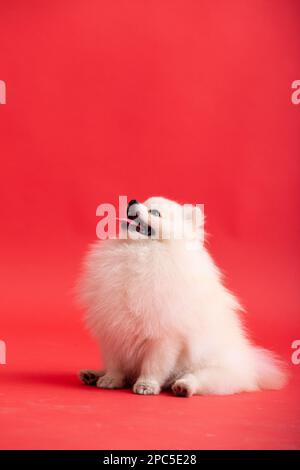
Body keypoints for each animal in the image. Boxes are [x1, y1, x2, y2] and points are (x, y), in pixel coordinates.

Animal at [77, 196, 286, 394]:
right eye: (142, 201)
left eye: (155, 212)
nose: (132, 201)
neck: (141, 251)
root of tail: (251, 366)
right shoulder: (113, 329)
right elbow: (115, 364)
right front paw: (110, 379)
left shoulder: (165, 336)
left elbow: (154, 364)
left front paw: (146, 385)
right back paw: (93, 374)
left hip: (213, 369)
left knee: (199, 378)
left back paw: (183, 387)